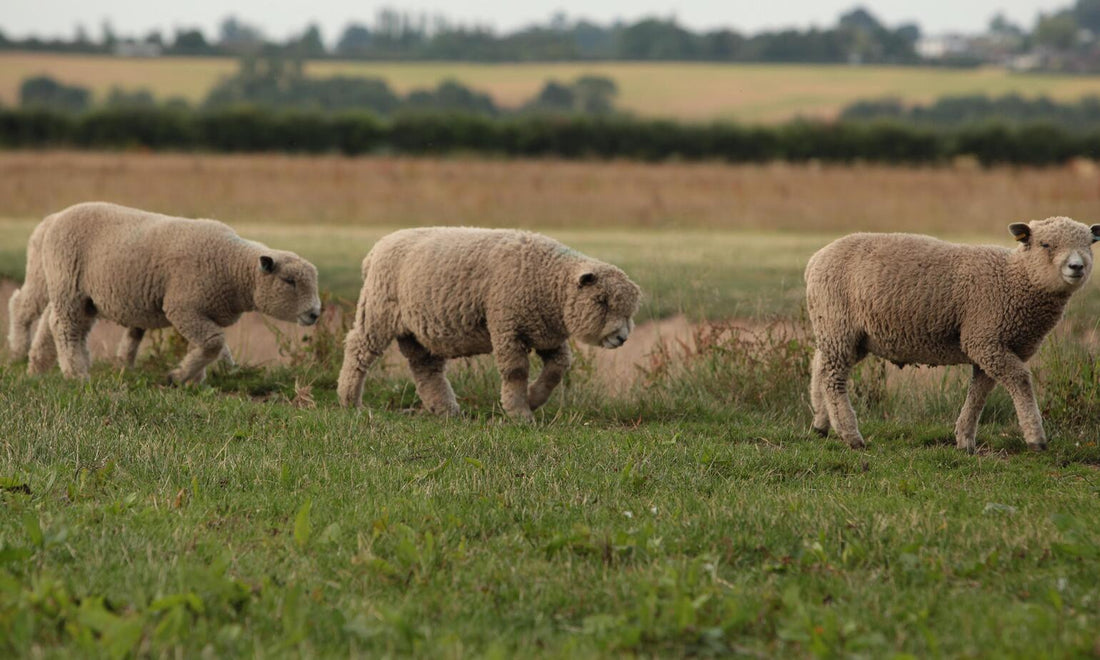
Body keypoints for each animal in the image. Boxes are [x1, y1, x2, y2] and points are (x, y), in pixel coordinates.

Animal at [8, 202, 321, 383]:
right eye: (289, 281)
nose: (315, 314)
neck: (232, 267)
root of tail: (54, 218)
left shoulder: (203, 312)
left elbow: (209, 346)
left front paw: (197, 377)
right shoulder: (183, 306)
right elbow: (213, 343)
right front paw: (178, 376)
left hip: (68, 287)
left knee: (50, 320)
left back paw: (38, 365)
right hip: (65, 281)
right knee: (55, 322)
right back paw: (68, 370)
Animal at [336, 227, 641, 421]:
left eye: (630, 310)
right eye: (602, 301)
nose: (622, 338)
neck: (548, 281)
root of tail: (375, 250)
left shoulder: (545, 333)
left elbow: (558, 368)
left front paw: (533, 398)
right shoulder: (507, 325)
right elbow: (516, 371)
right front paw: (520, 413)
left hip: (416, 331)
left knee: (427, 370)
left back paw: (446, 410)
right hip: (376, 311)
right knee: (358, 351)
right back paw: (349, 400)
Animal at [805, 217, 1100, 452]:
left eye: (1089, 245)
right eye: (1046, 245)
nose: (1076, 267)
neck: (1013, 278)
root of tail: (815, 260)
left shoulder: (991, 347)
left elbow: (979, 393)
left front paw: (965, 439)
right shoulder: (984, 339)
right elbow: (1021, 381)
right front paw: (1036, 439)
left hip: (843, 331)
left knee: (819, 365)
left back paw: (820, 424)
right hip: (838, 323)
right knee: (832, 378)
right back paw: (850, 435)